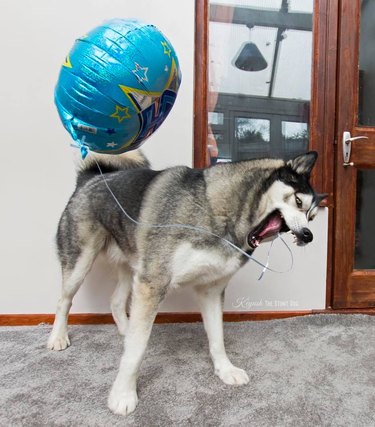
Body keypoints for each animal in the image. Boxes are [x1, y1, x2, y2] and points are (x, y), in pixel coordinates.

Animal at [48, 150, 326, 414]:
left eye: (312, 217)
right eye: (298, 202)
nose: (308, 236)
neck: (220, 211)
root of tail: (89, 178)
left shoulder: (211, 290)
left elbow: (217, 337)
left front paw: (225, 370)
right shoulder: (153, 283)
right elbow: (136, 350)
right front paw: (123, 395)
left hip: (132, 267)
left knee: (116, 301)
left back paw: (125, 329)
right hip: (81, 262)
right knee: (64, 301)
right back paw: (58, 337)